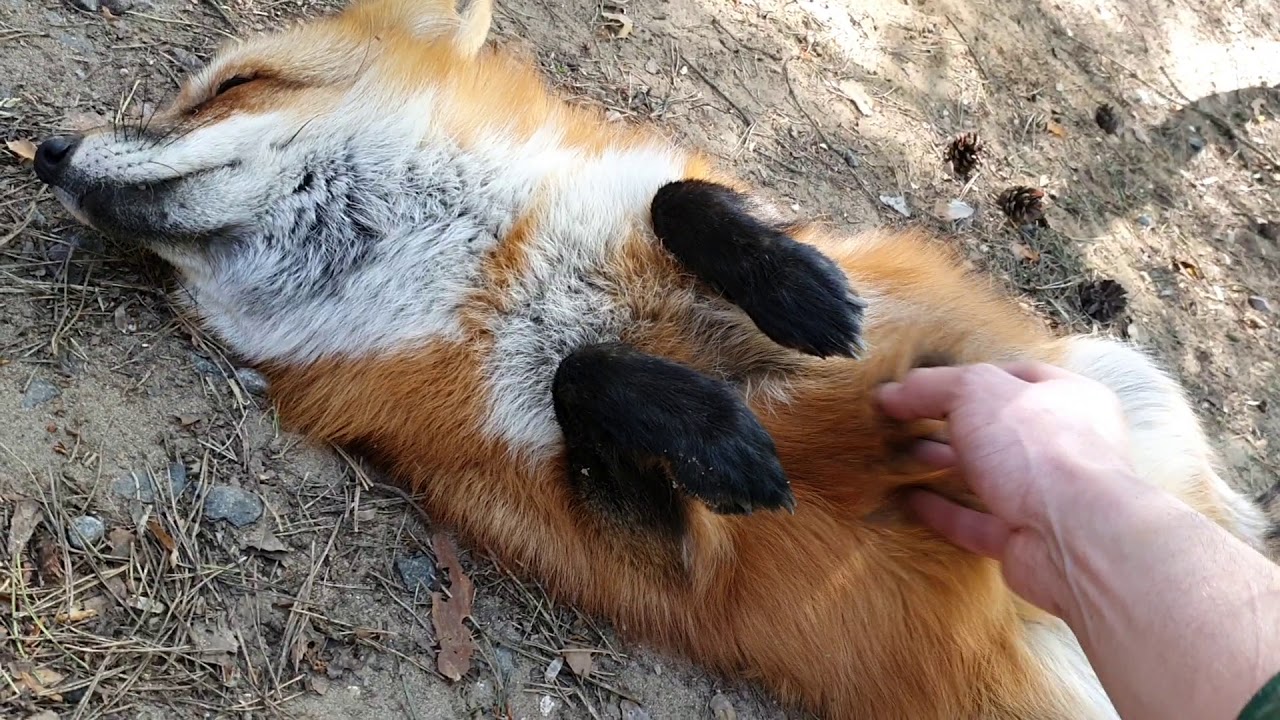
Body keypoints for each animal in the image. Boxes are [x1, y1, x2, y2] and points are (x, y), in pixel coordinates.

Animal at [29, 0, 1275, 717]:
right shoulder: (631, 544)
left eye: (233, 86)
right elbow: (588, 383)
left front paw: (800, 289)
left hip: (1111, 374)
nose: (43, 148)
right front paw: (724, 440)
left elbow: (689, 199)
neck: (482, 276)